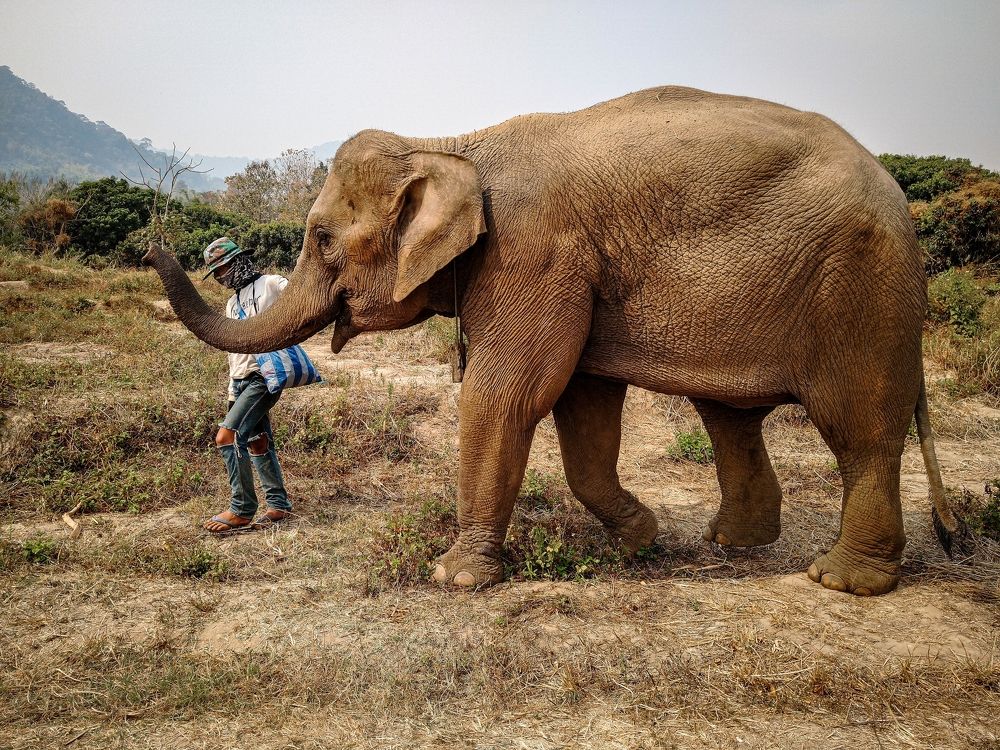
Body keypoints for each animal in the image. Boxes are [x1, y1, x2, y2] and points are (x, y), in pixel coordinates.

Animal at [145, 85, 967, 596]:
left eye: (319, 237)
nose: (153, 243)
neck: (451, 141)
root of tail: (894, 189)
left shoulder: (534, 253)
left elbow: (507, 394)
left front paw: (456, 579)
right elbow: (583, 406)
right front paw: (641, 541)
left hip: (861, 290)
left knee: (859, 428)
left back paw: (843, 581)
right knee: (730, 418)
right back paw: (731, 545)